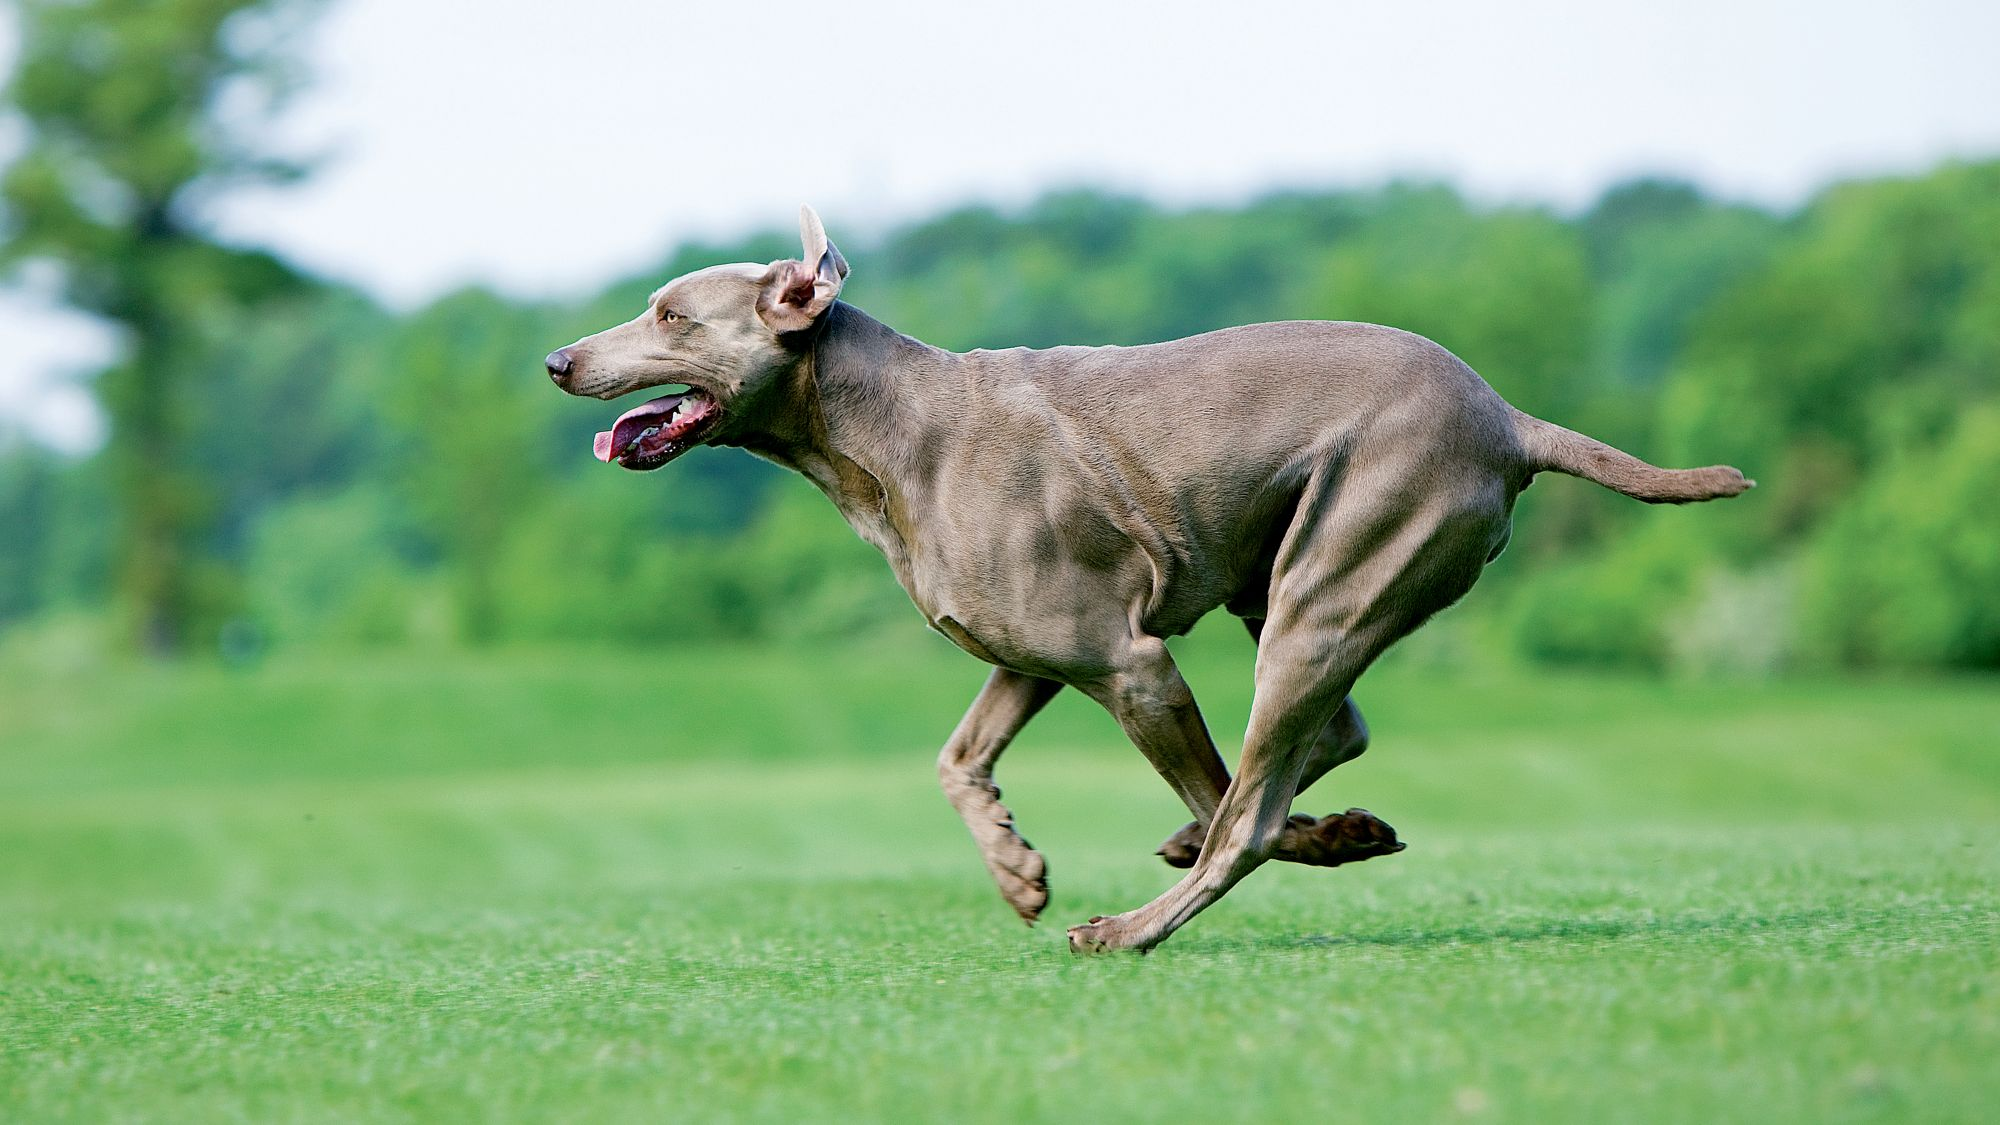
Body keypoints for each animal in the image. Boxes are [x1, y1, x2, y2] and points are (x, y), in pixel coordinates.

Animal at [548, 206, 1752, 948]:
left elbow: (1222, 797)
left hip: (1329, 582)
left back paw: (1134, 926)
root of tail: (1509, 418)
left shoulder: (1127, 662)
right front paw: (1016, 872)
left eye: (669, 315)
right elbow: (956, 759)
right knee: (1331, 734)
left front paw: (1323, 840)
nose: (558, 359)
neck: (881, 434)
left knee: (1247, 818)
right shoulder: (1031, 656)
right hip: (1285, 576)